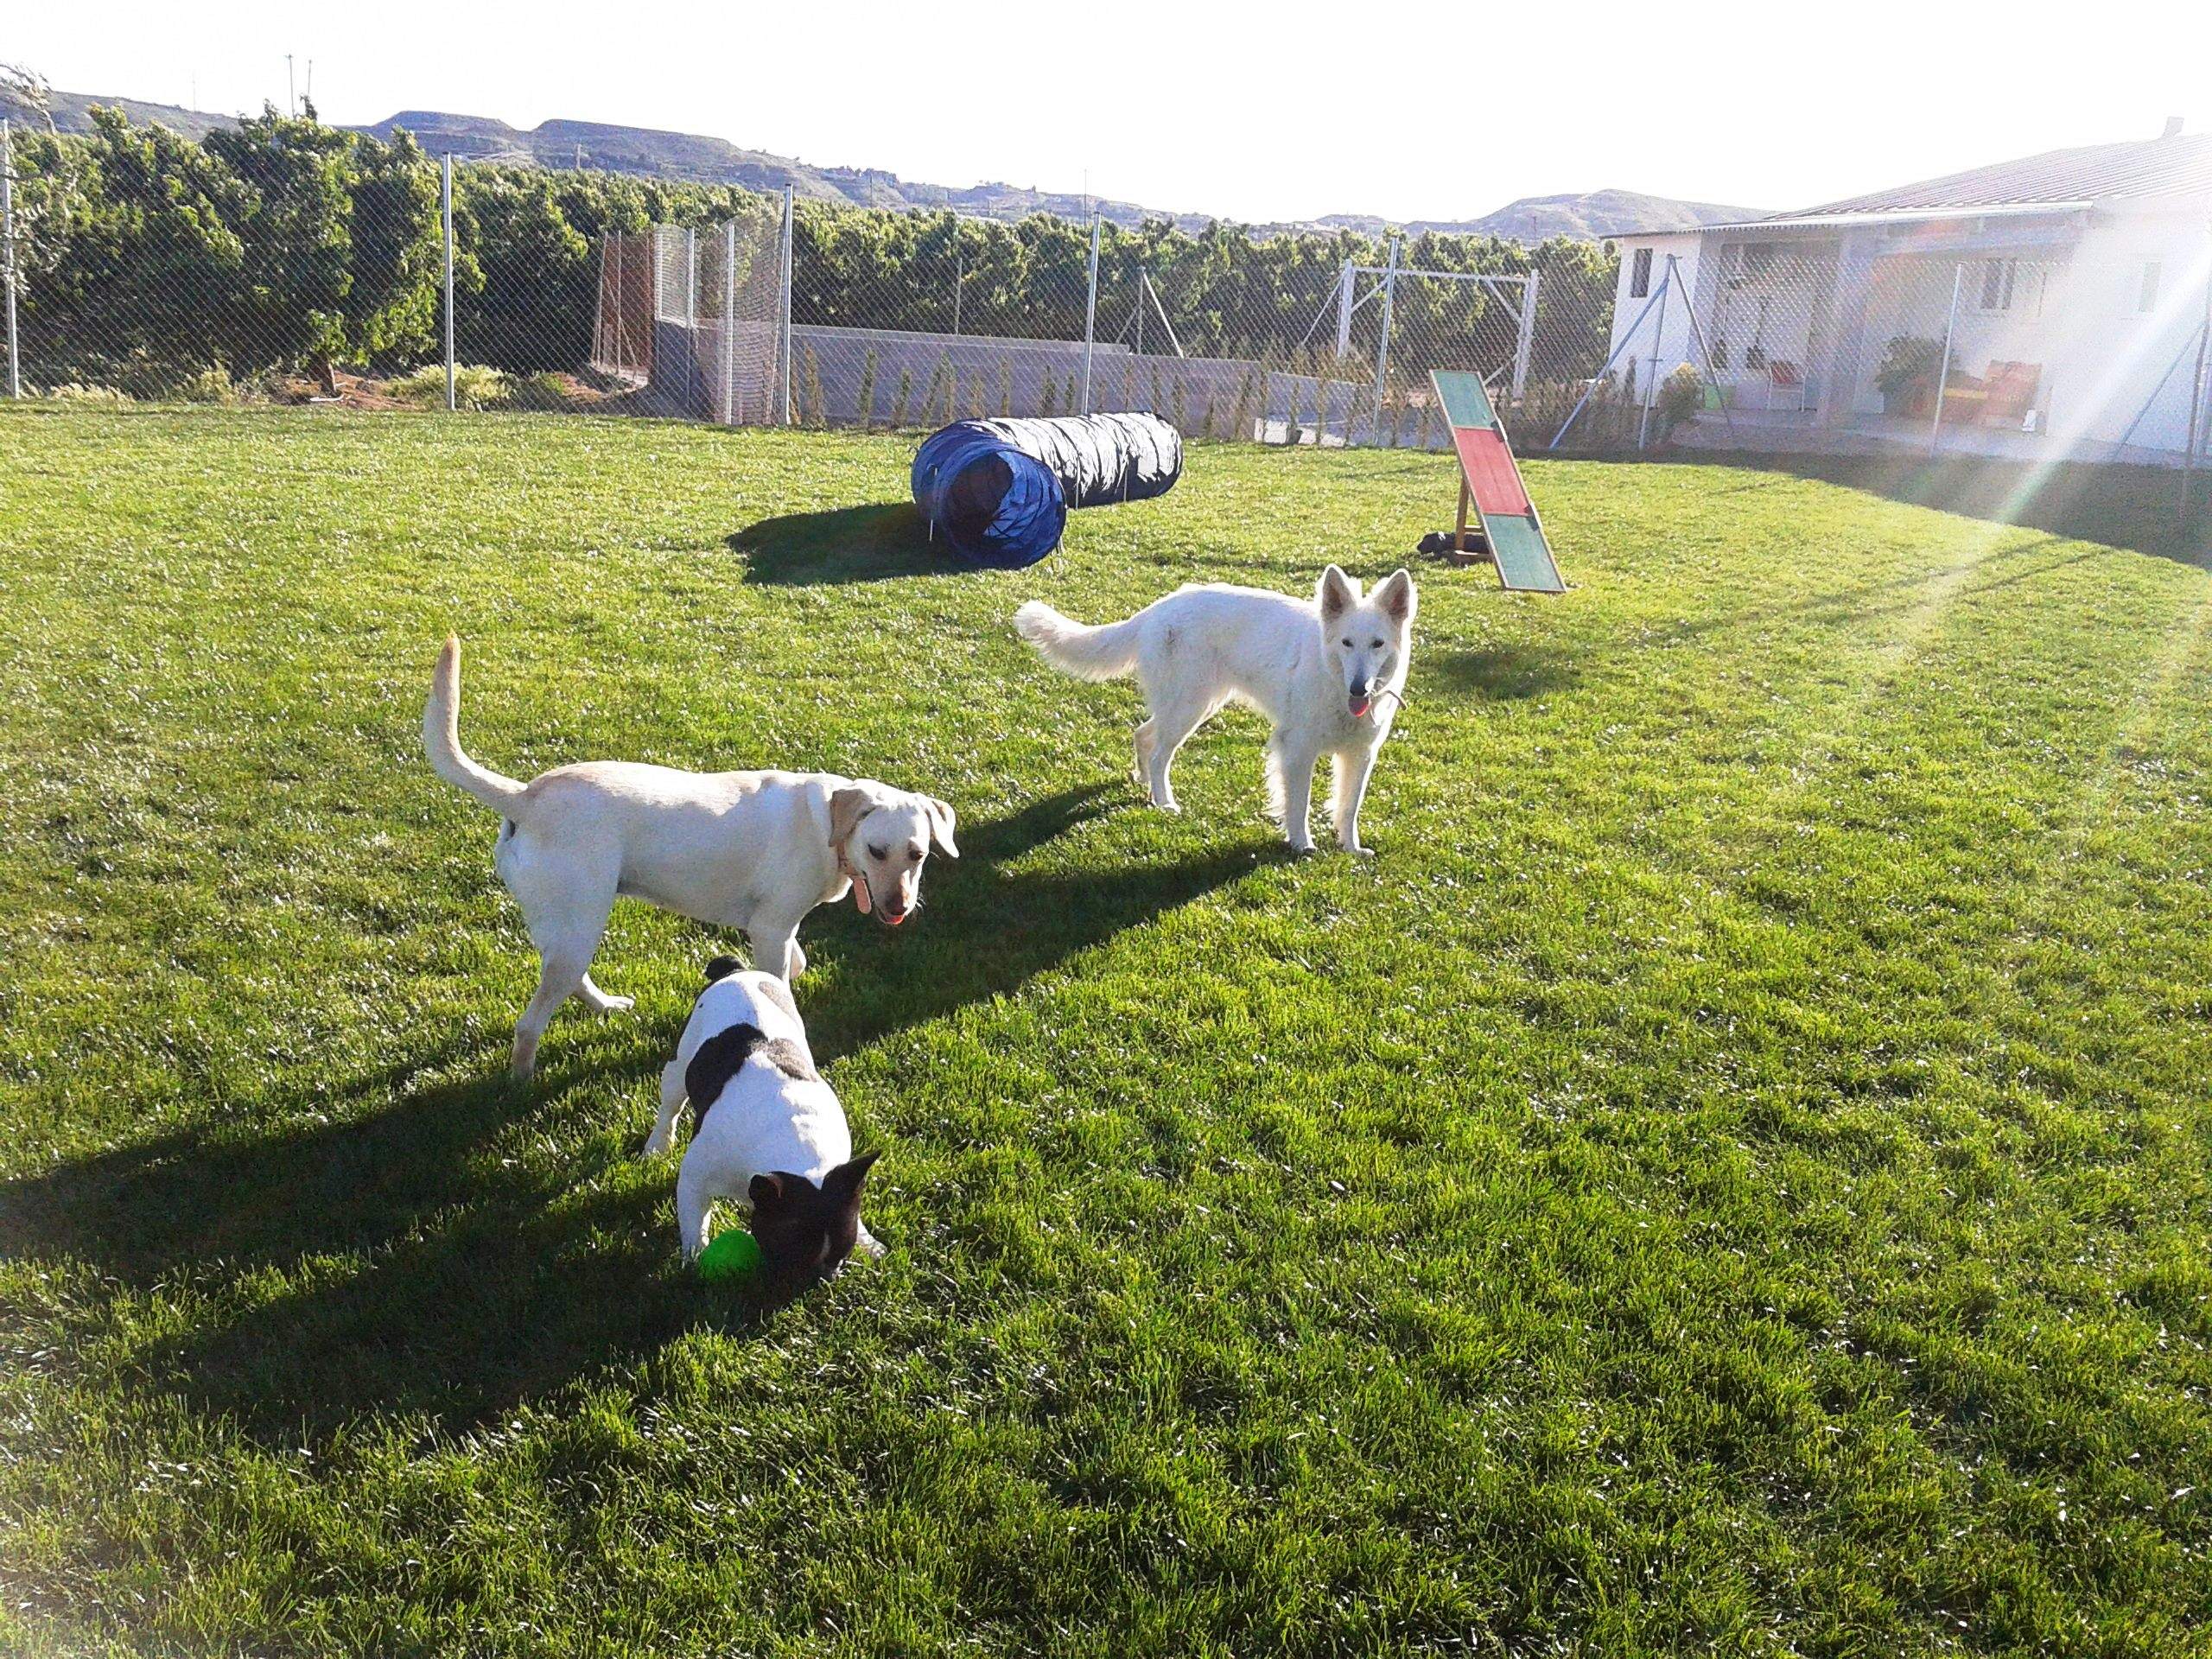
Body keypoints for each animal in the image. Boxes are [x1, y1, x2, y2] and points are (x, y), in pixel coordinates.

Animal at [427, 637, 955, 1079]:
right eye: (877, 851)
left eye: (918, 854)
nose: (899, 909)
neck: (828, 824)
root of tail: (524, 797)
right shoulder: (772, 928)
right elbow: (780, 979)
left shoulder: (777, 928)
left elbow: (798, 963)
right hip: (580, 924)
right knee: (530, 1022)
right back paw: (520, 1082)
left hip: (568, 927)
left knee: (569, 980)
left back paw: (604, 1008)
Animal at [641, 960, 880, 1274]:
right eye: (790, 1258)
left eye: (841, 1256)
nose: (822, 1277)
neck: (799, 1156)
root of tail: (738, 970)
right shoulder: (695, 1178)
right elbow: (694, 1225)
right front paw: (694, 1262)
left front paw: (868, 1241)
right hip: (678, 1068)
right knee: (670, 1106)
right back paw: (657, 1146)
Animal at [1017, 570, 1415, 858]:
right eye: (1346, 643)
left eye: (1377, 644)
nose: (1359, 690)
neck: (1332, 675)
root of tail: (1158, 608)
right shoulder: (1298, 750)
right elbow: (1298, 804)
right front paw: (1302, 845)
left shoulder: (1361, 755)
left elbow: (1349, 808)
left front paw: (1351, 849)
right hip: (1189, 707)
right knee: (1160, 754)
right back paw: (1165, 802)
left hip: (1190, 706)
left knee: (1143, 735)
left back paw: (1147, 787)